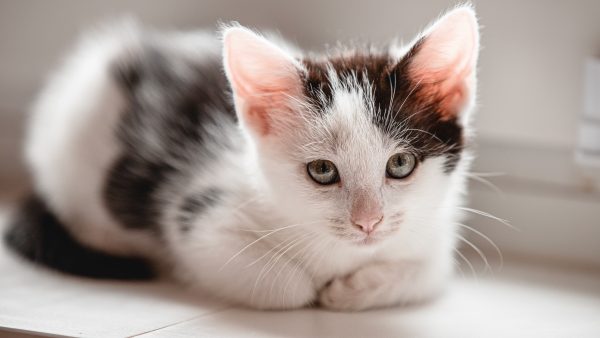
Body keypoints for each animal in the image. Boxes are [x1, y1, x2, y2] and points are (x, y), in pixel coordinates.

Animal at [4, 5, 480, 312]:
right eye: (322, 171)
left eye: (400, 165)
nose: (368, 222)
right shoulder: (196, 217)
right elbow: (288, 288)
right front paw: (317, 289)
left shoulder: (435, 230)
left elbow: (431, 271)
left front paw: (354, 289)